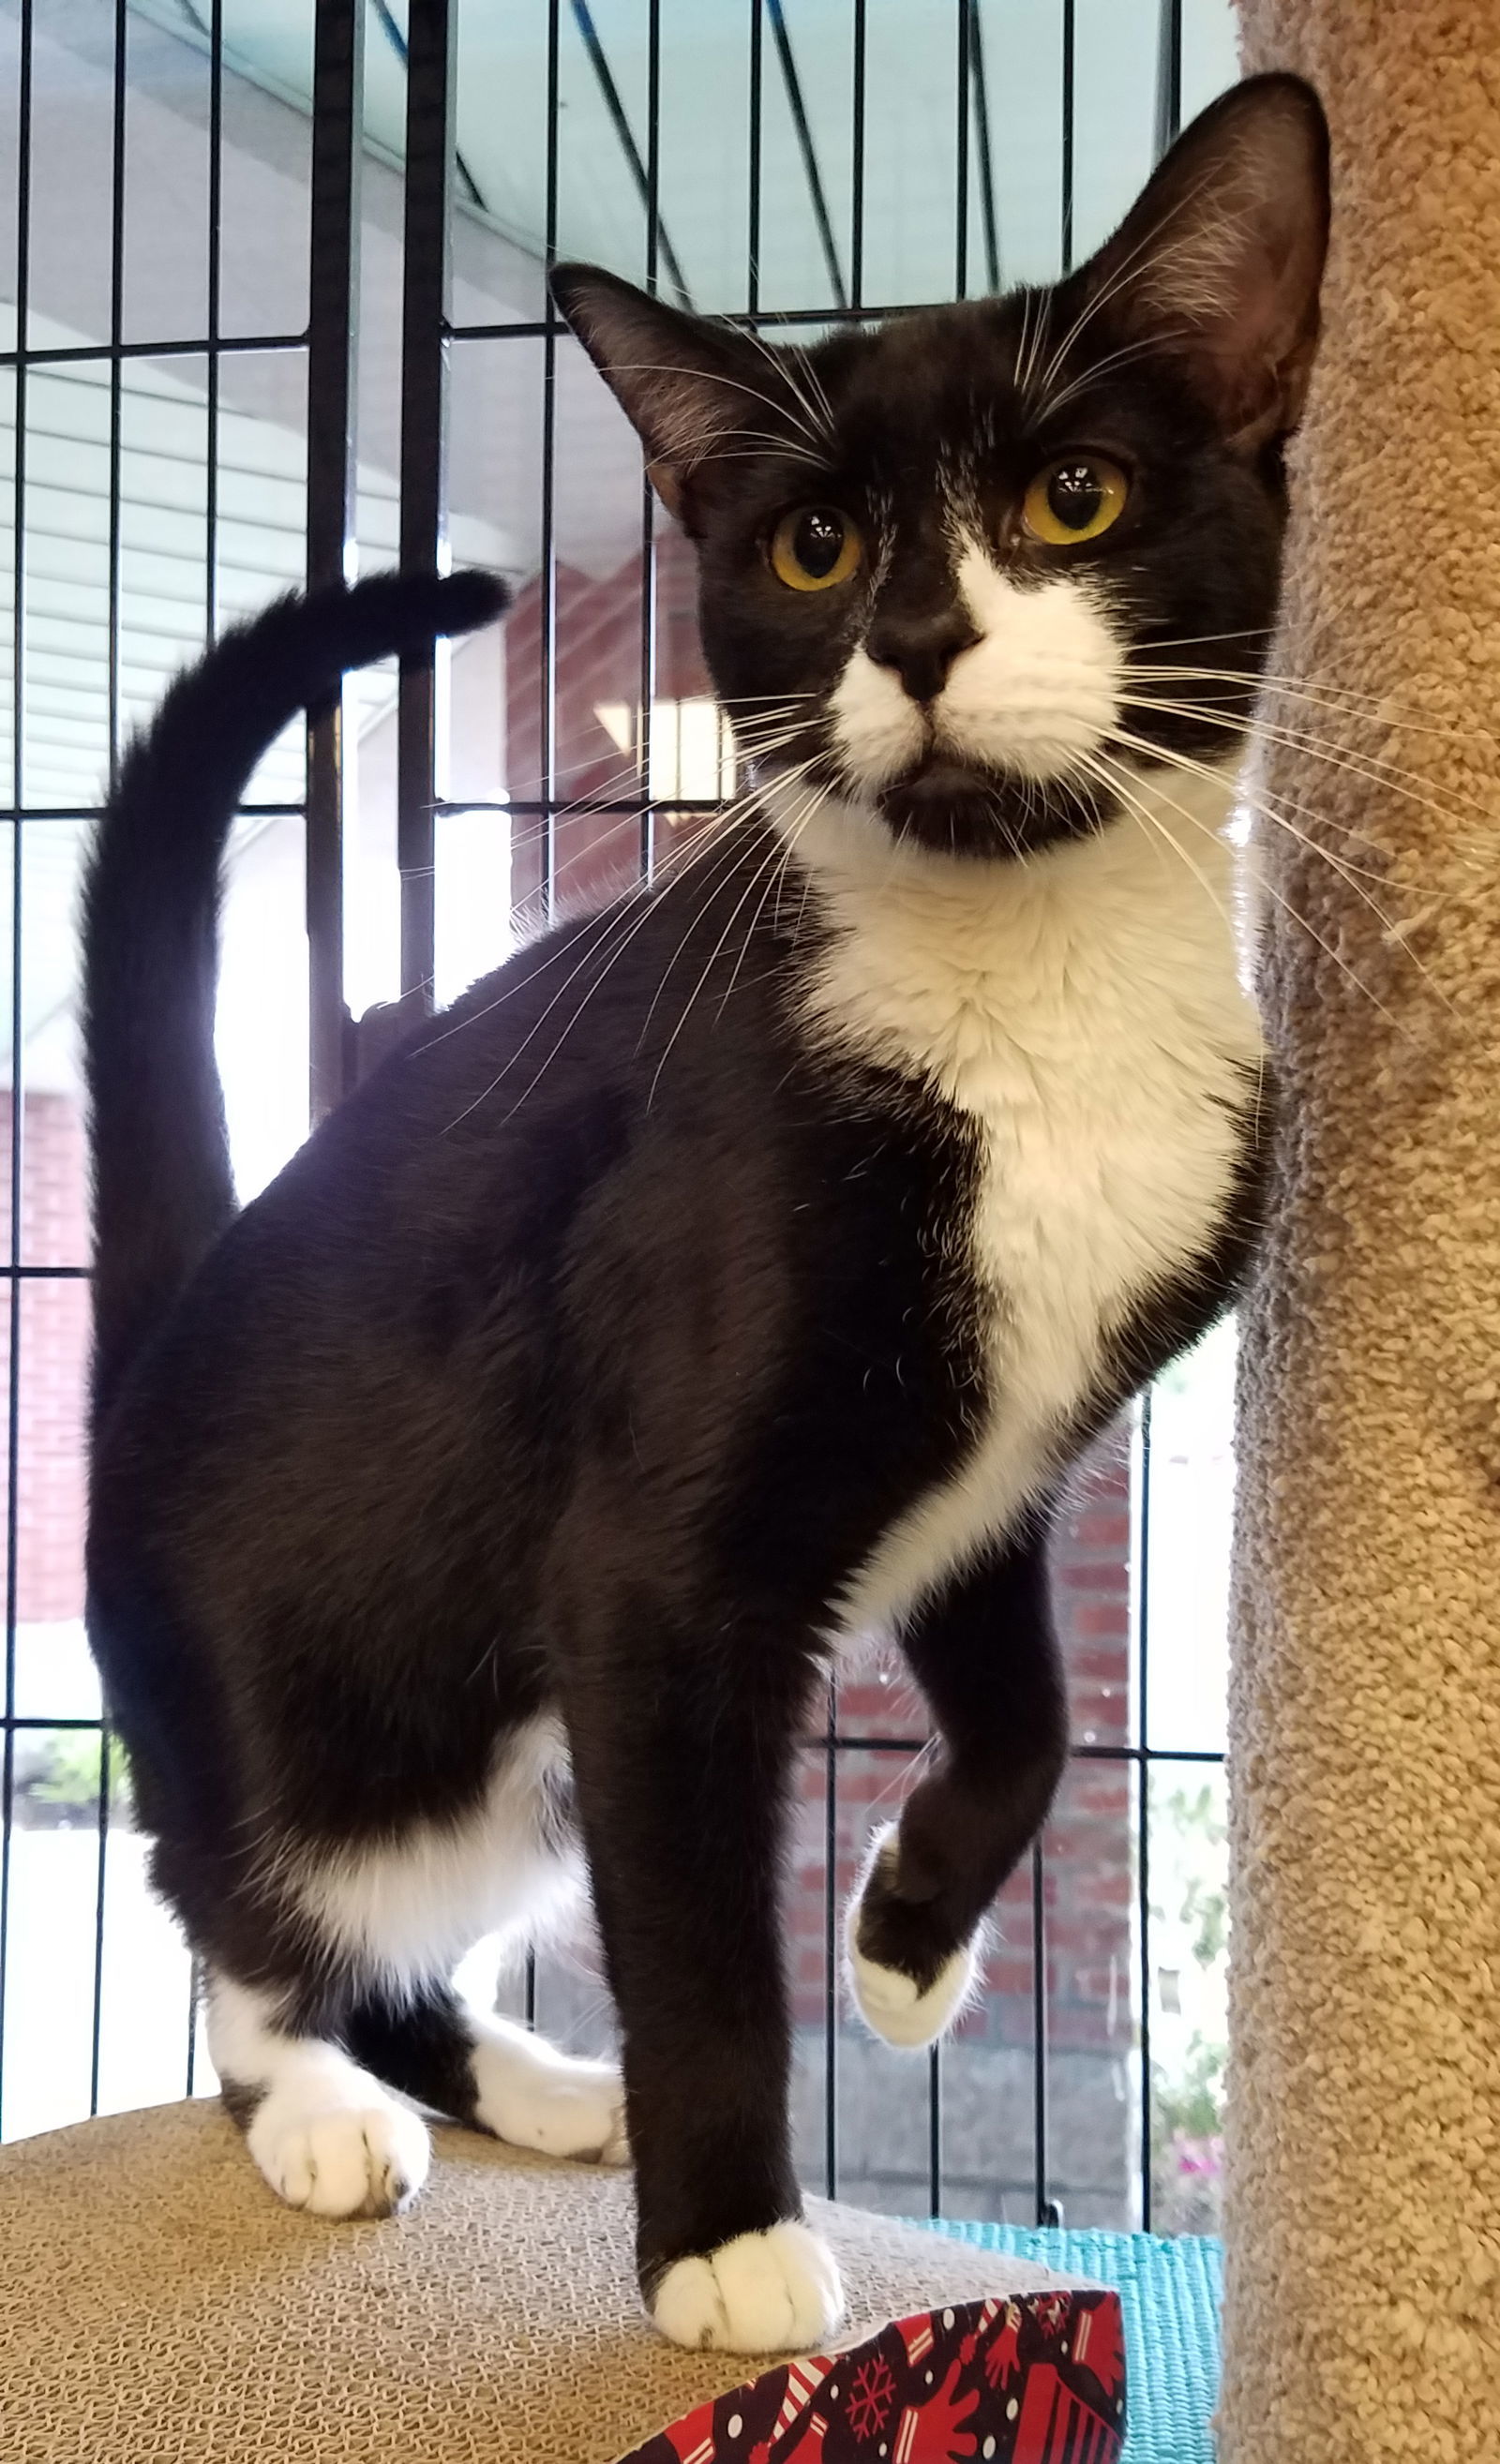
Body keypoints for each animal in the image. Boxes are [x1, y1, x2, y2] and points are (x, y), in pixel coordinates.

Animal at [82, 71, 1320, 2345]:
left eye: (1075, 497)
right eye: (812, 546)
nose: (917, 635)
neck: (1023, 991)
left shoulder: (992, 1450)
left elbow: (1033, 1710)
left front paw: (905, 1940)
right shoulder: (651, 1575)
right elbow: (700, 1941)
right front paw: (731, 2237)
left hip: (512, 1761)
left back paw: (528, 2081)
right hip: (322, 1705)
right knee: (245, 1897)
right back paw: (319, 2103)